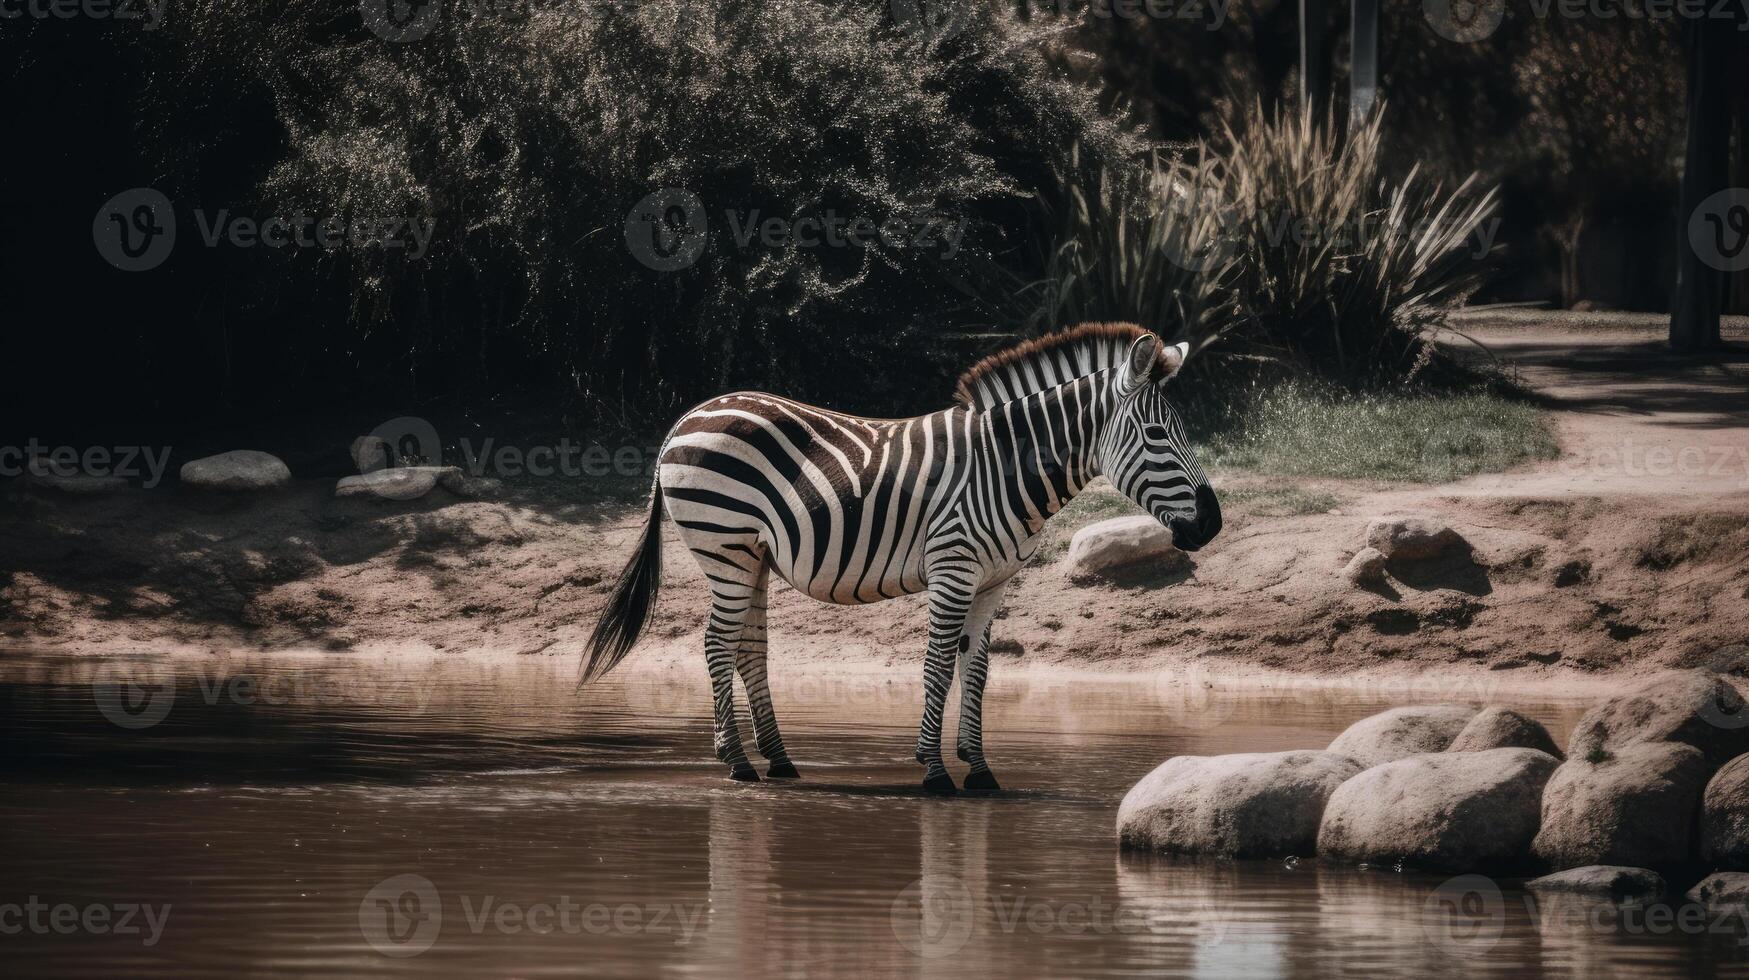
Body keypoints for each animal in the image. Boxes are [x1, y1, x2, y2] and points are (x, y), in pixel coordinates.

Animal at [580, 322, 1224, 798]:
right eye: (1156, 434)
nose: (1212, 524)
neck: (1005, 469)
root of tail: (686, 419)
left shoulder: (993, 582)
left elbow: (978, 672)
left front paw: (980, 769)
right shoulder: (953, 568)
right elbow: (937, 666)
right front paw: (935, 771)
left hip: (753, 555)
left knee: (747, 648)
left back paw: (780, 761)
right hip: (725, 545)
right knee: (717, 643)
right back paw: (737, 762)